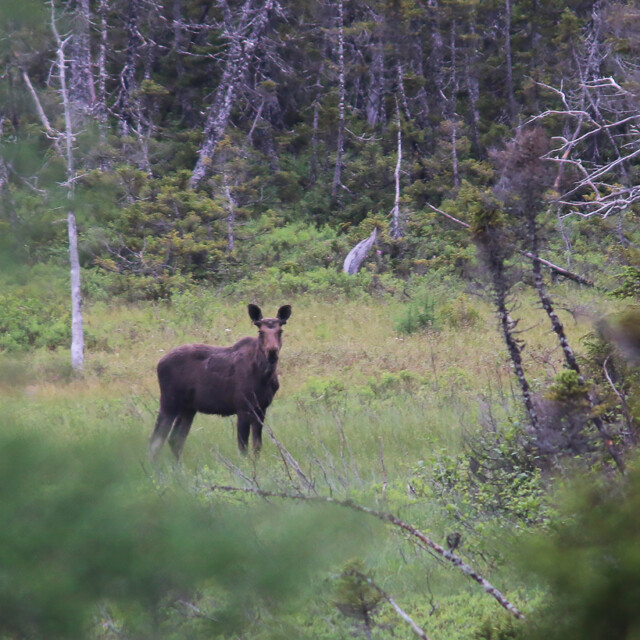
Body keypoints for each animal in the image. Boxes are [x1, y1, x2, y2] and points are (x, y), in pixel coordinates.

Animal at [149, 304, 292, 461]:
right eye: (260, 331)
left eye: (280, 331)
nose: (272, 352)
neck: (265, 376)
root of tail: (159, 363)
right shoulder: (243, 407)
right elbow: (243, 448)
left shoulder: (261, 409)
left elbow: (257, 447)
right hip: (169, 402)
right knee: (156, 441)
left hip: (188, 408)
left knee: (175, 440)